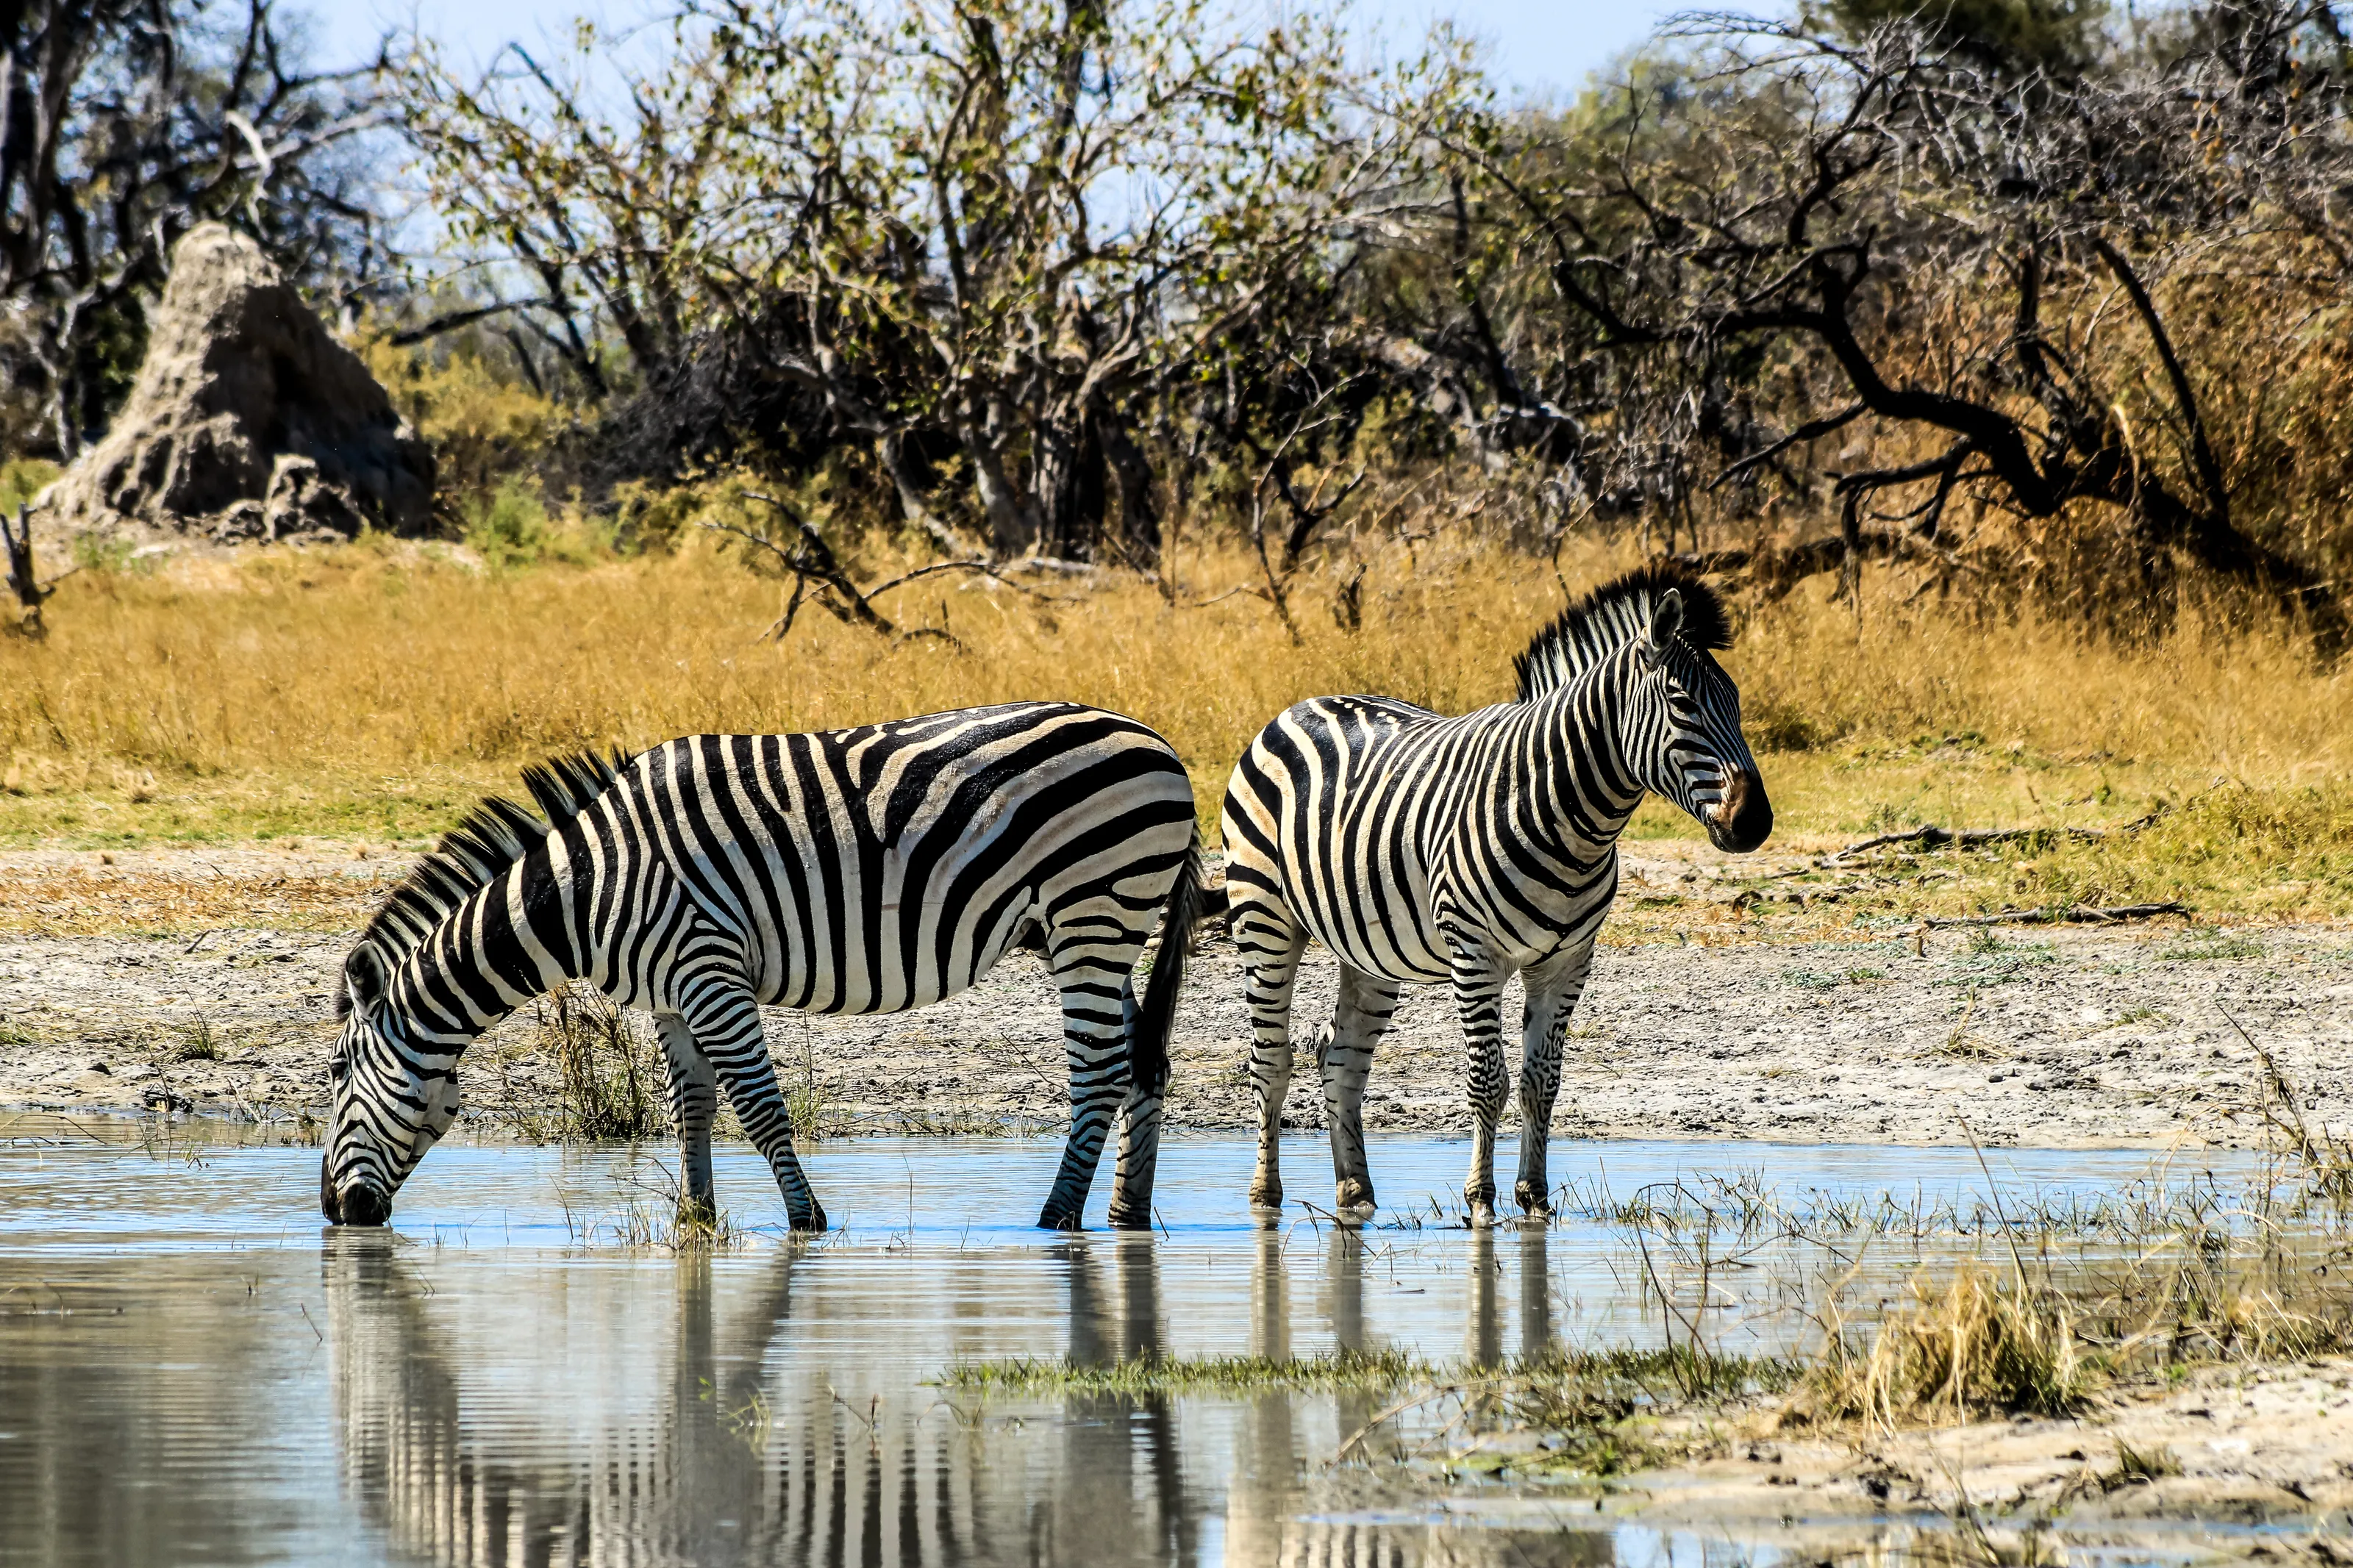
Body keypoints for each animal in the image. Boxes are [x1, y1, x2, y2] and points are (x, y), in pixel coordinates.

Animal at [321, 702, 1206, 1233]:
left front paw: (806, 1221)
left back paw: (1057, 1218)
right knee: (1143, 1061)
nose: (333, 1214)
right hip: (1094, 929)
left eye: (333, 1073)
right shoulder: (670, 994)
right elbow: (692, 1105)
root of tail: (1160, 744)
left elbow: (758, 1105)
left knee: (1099, 1070)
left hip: (1091, 911)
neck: (582, 889)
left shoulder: (708, 967)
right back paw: (1127, 1212)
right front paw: (696, 1220)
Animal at [1220, 565, 1773, 1226]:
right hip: (1264, 917)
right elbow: (1489, 1080)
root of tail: (1300, 706)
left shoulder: (1566, 961)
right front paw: (1481, 1200)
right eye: (1682, 703)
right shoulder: (1475, 955)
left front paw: (1534, 1196)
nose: (1755, 823)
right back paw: (1265, 1196)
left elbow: (1542, 1081)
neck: (1571, 818)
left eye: (1738, 703)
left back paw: (1355, 1193)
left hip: (1369, 950)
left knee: (1341, 1058)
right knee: (1271, 1061)